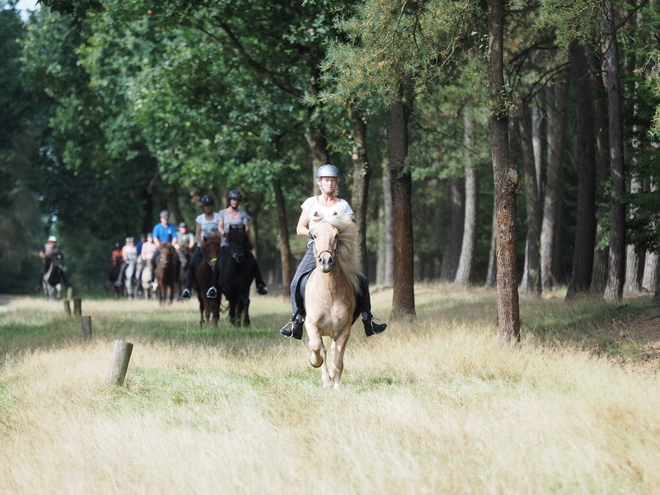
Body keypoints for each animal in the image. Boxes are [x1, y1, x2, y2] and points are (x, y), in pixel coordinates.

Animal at [306, 211, 360, 390]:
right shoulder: (311, 324)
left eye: (336, 235)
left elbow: (338, 358)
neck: (328, 293)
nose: (325, 261)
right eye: (314, 236)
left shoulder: (343, 329)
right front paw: (315, 362)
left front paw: (337, 384)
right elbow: (317, 347)